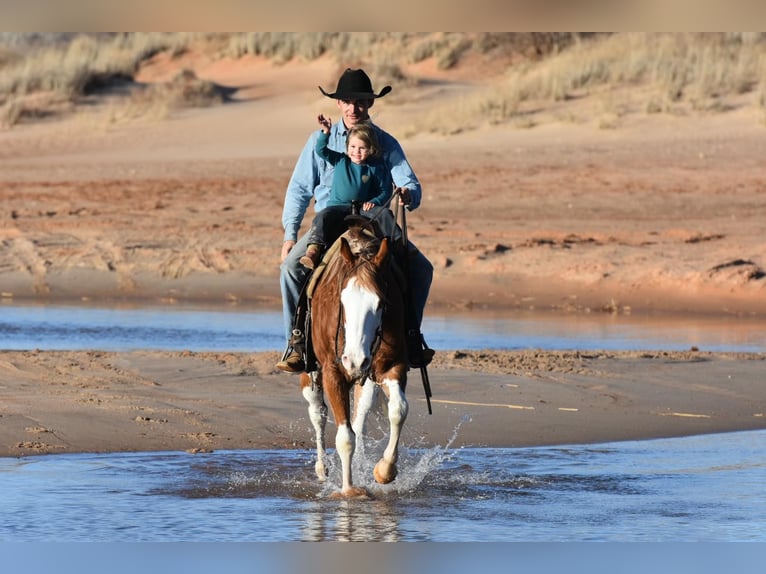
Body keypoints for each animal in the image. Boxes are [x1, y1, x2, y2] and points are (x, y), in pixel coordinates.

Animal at [300, 225, 412, 500]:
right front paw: (348, 489)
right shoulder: (333, 373)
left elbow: (398, 410)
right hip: (310, 375)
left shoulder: (391, 367)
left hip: (367, 380)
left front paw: (384, 470)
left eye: (381, 303)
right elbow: (344, 437)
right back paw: (322, 468)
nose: (355, 360)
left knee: (360, 421)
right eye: (342, 301)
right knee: (318, 414)